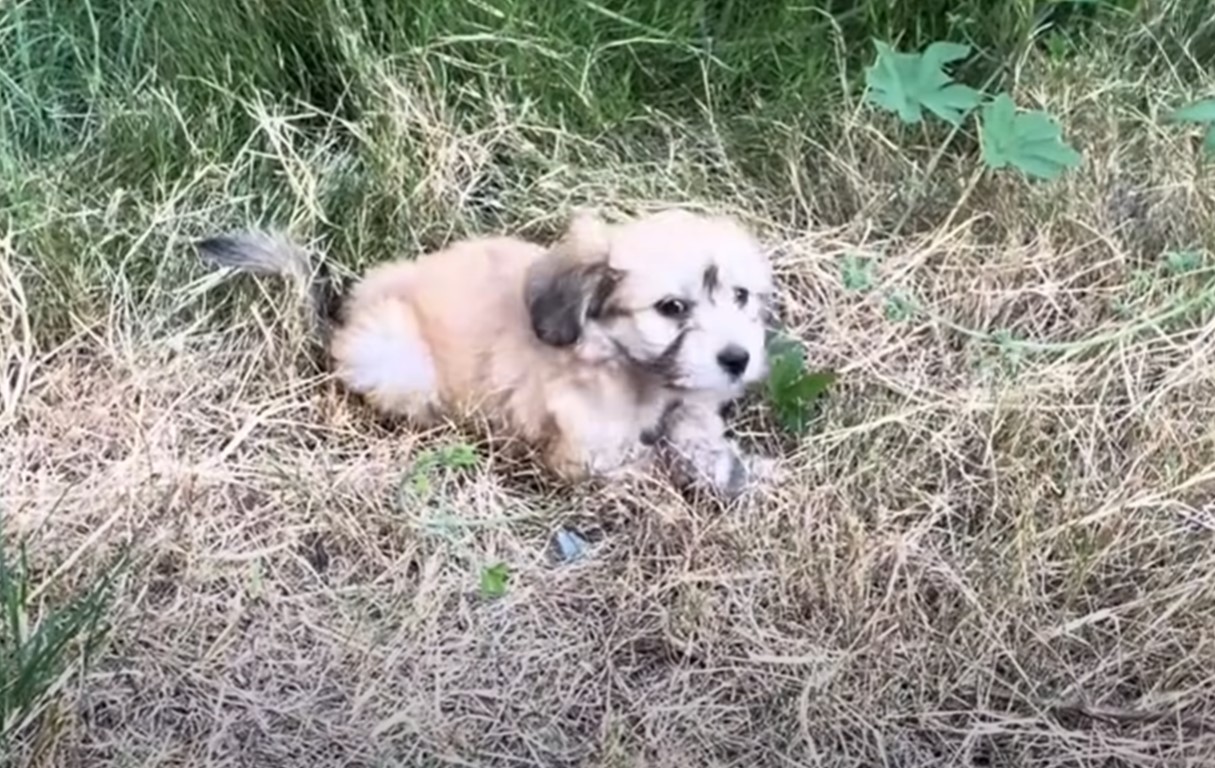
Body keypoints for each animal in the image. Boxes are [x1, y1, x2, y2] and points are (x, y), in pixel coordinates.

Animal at [194, 209, 772, 498]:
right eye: (671, 308)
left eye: (741, 296)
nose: (738, 359)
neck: (636, 375)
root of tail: (343, 317)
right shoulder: (583, 458)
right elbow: (653, 465)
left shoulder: (688, 409)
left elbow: (696, 439)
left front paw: (740, 469)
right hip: (395, 358)